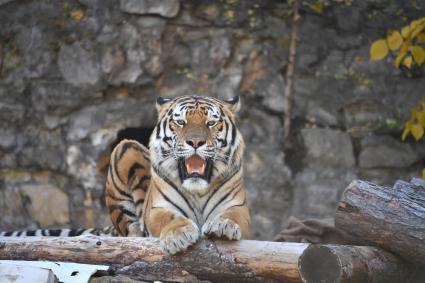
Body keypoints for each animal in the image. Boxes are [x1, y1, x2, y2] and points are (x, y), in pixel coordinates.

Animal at [106, 95, 250, 255]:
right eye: (181, 122)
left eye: (211, 123)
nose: (195, 142)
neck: (197, 190)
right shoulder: (158, 208)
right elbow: (169, 218)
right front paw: (179, 235)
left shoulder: (238, 206)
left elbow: (232, 215)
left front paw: (223, 226)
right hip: (125, 147)